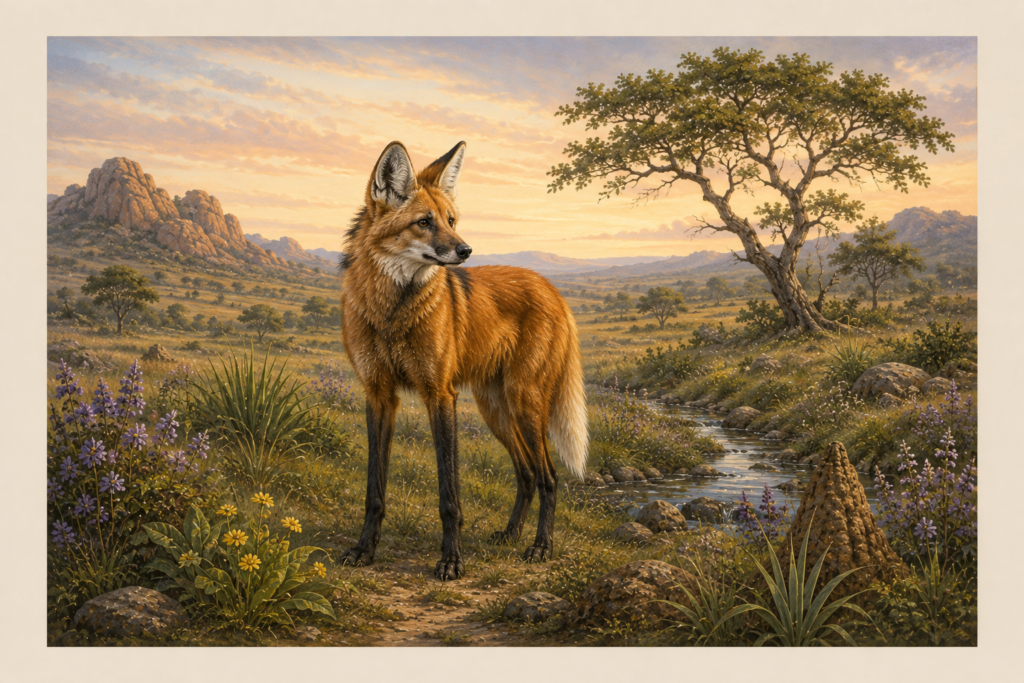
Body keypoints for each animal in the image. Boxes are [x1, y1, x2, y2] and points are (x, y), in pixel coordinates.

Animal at [338, 141, 588, 580]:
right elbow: (375, 491)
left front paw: (451, 559)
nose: (466, 250)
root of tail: (551, 287)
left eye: (451, 221)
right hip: (496, 411)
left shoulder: (440, 394)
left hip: (525, 402)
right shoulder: (379, 395)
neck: (392, 314)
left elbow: (449, 495)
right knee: (526, 473)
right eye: (424, 222)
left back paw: (541, 546)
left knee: (549, 475)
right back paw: (510, 534)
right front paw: (364, 549)